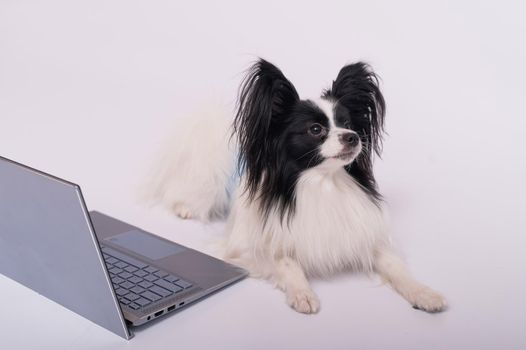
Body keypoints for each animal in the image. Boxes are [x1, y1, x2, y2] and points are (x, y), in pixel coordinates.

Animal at [146, 58, 448, 314]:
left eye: (348, 123)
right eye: (315, 129)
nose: (352, 137)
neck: (322, 183)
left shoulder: (364, 237)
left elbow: (395, 266)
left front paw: (423, 293)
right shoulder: (245, 249)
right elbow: (286, 260)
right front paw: (303, 293)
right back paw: (184, 207)